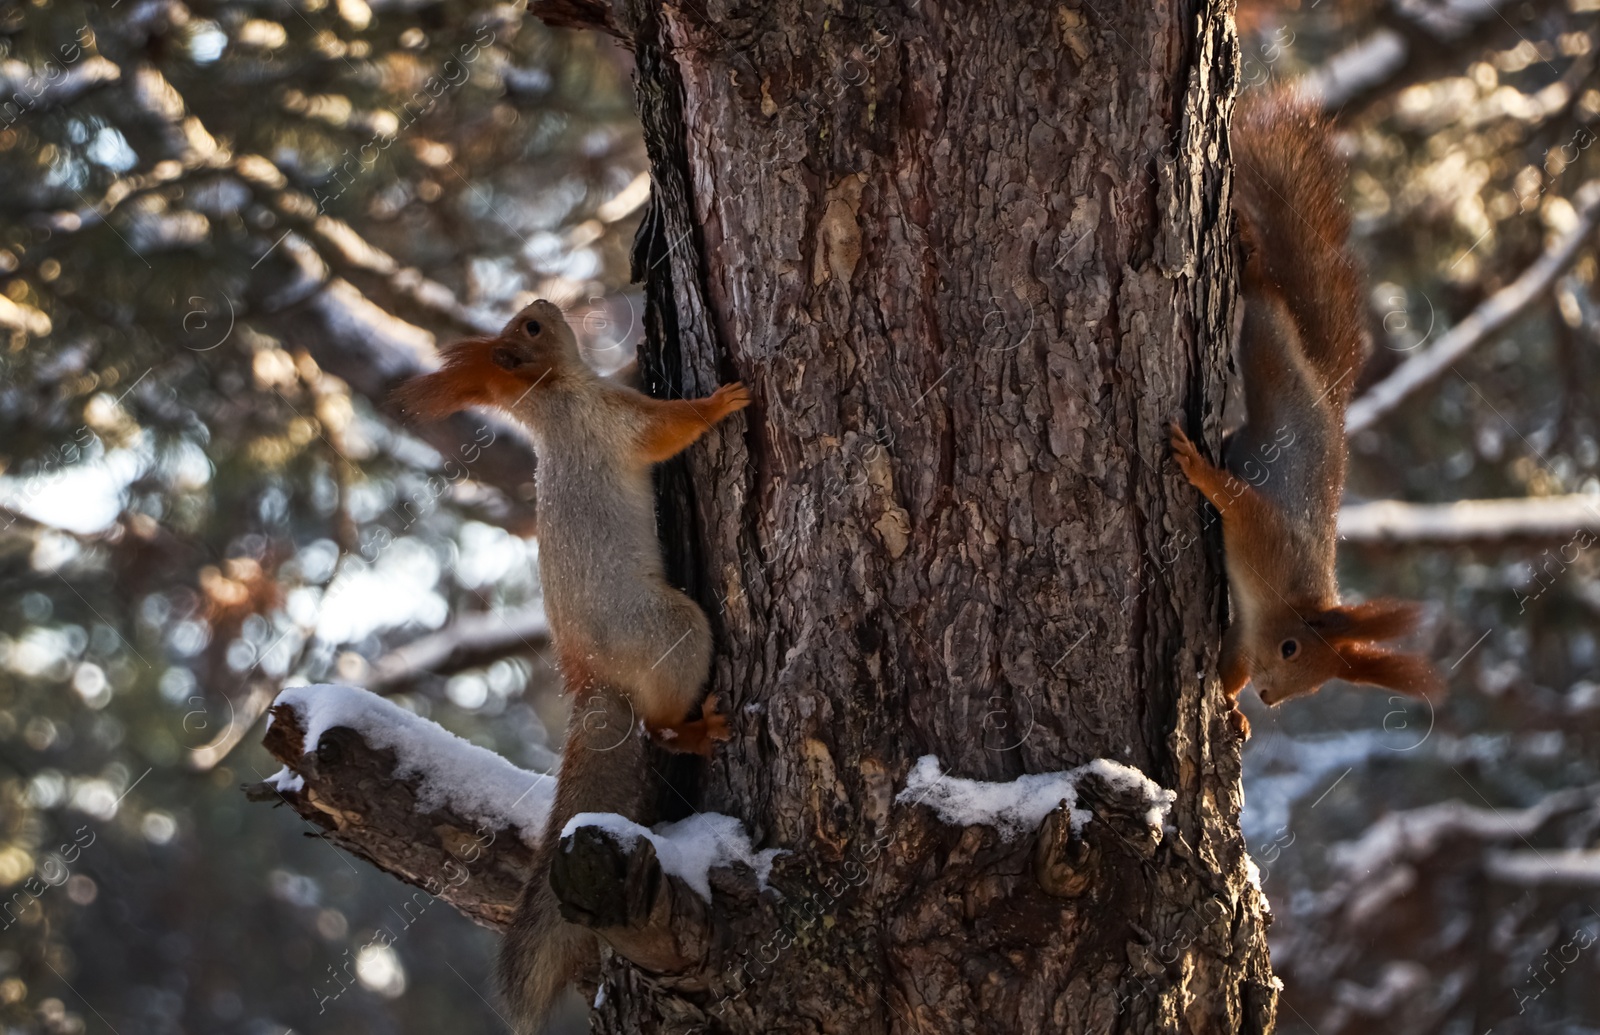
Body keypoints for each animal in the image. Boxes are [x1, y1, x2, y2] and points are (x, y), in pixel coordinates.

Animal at [390, 299, 745, 1030]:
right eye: (529, 329)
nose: (543, 304)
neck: (556, 397)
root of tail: (591, 679)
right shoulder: (608, 421)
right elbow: (666, 431)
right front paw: (722, 401)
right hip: (671, 629)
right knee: (660, 723)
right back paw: (697, 729)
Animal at [1171, 91, 1446, 735]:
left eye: (1318, 685)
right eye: (1292, 649)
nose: (1271, 699)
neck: (1290, 599)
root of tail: (1328, 396)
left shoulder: (1243, 632)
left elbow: (1228, 666)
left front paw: (1233, 710)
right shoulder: (1263, 531)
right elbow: (1232, 497)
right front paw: (1194, 465)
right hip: (1271, 358)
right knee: (1266, 301)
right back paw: (1248, 257)